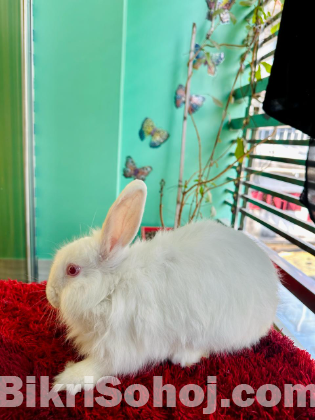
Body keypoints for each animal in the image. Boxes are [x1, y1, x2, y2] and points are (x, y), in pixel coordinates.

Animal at [45, 180, 280, 390]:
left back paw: (183, 356)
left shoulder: (121, 347)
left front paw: (67, 380)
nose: (50, 294)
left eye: (72, 270)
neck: (113, 287)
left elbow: (100, 366)